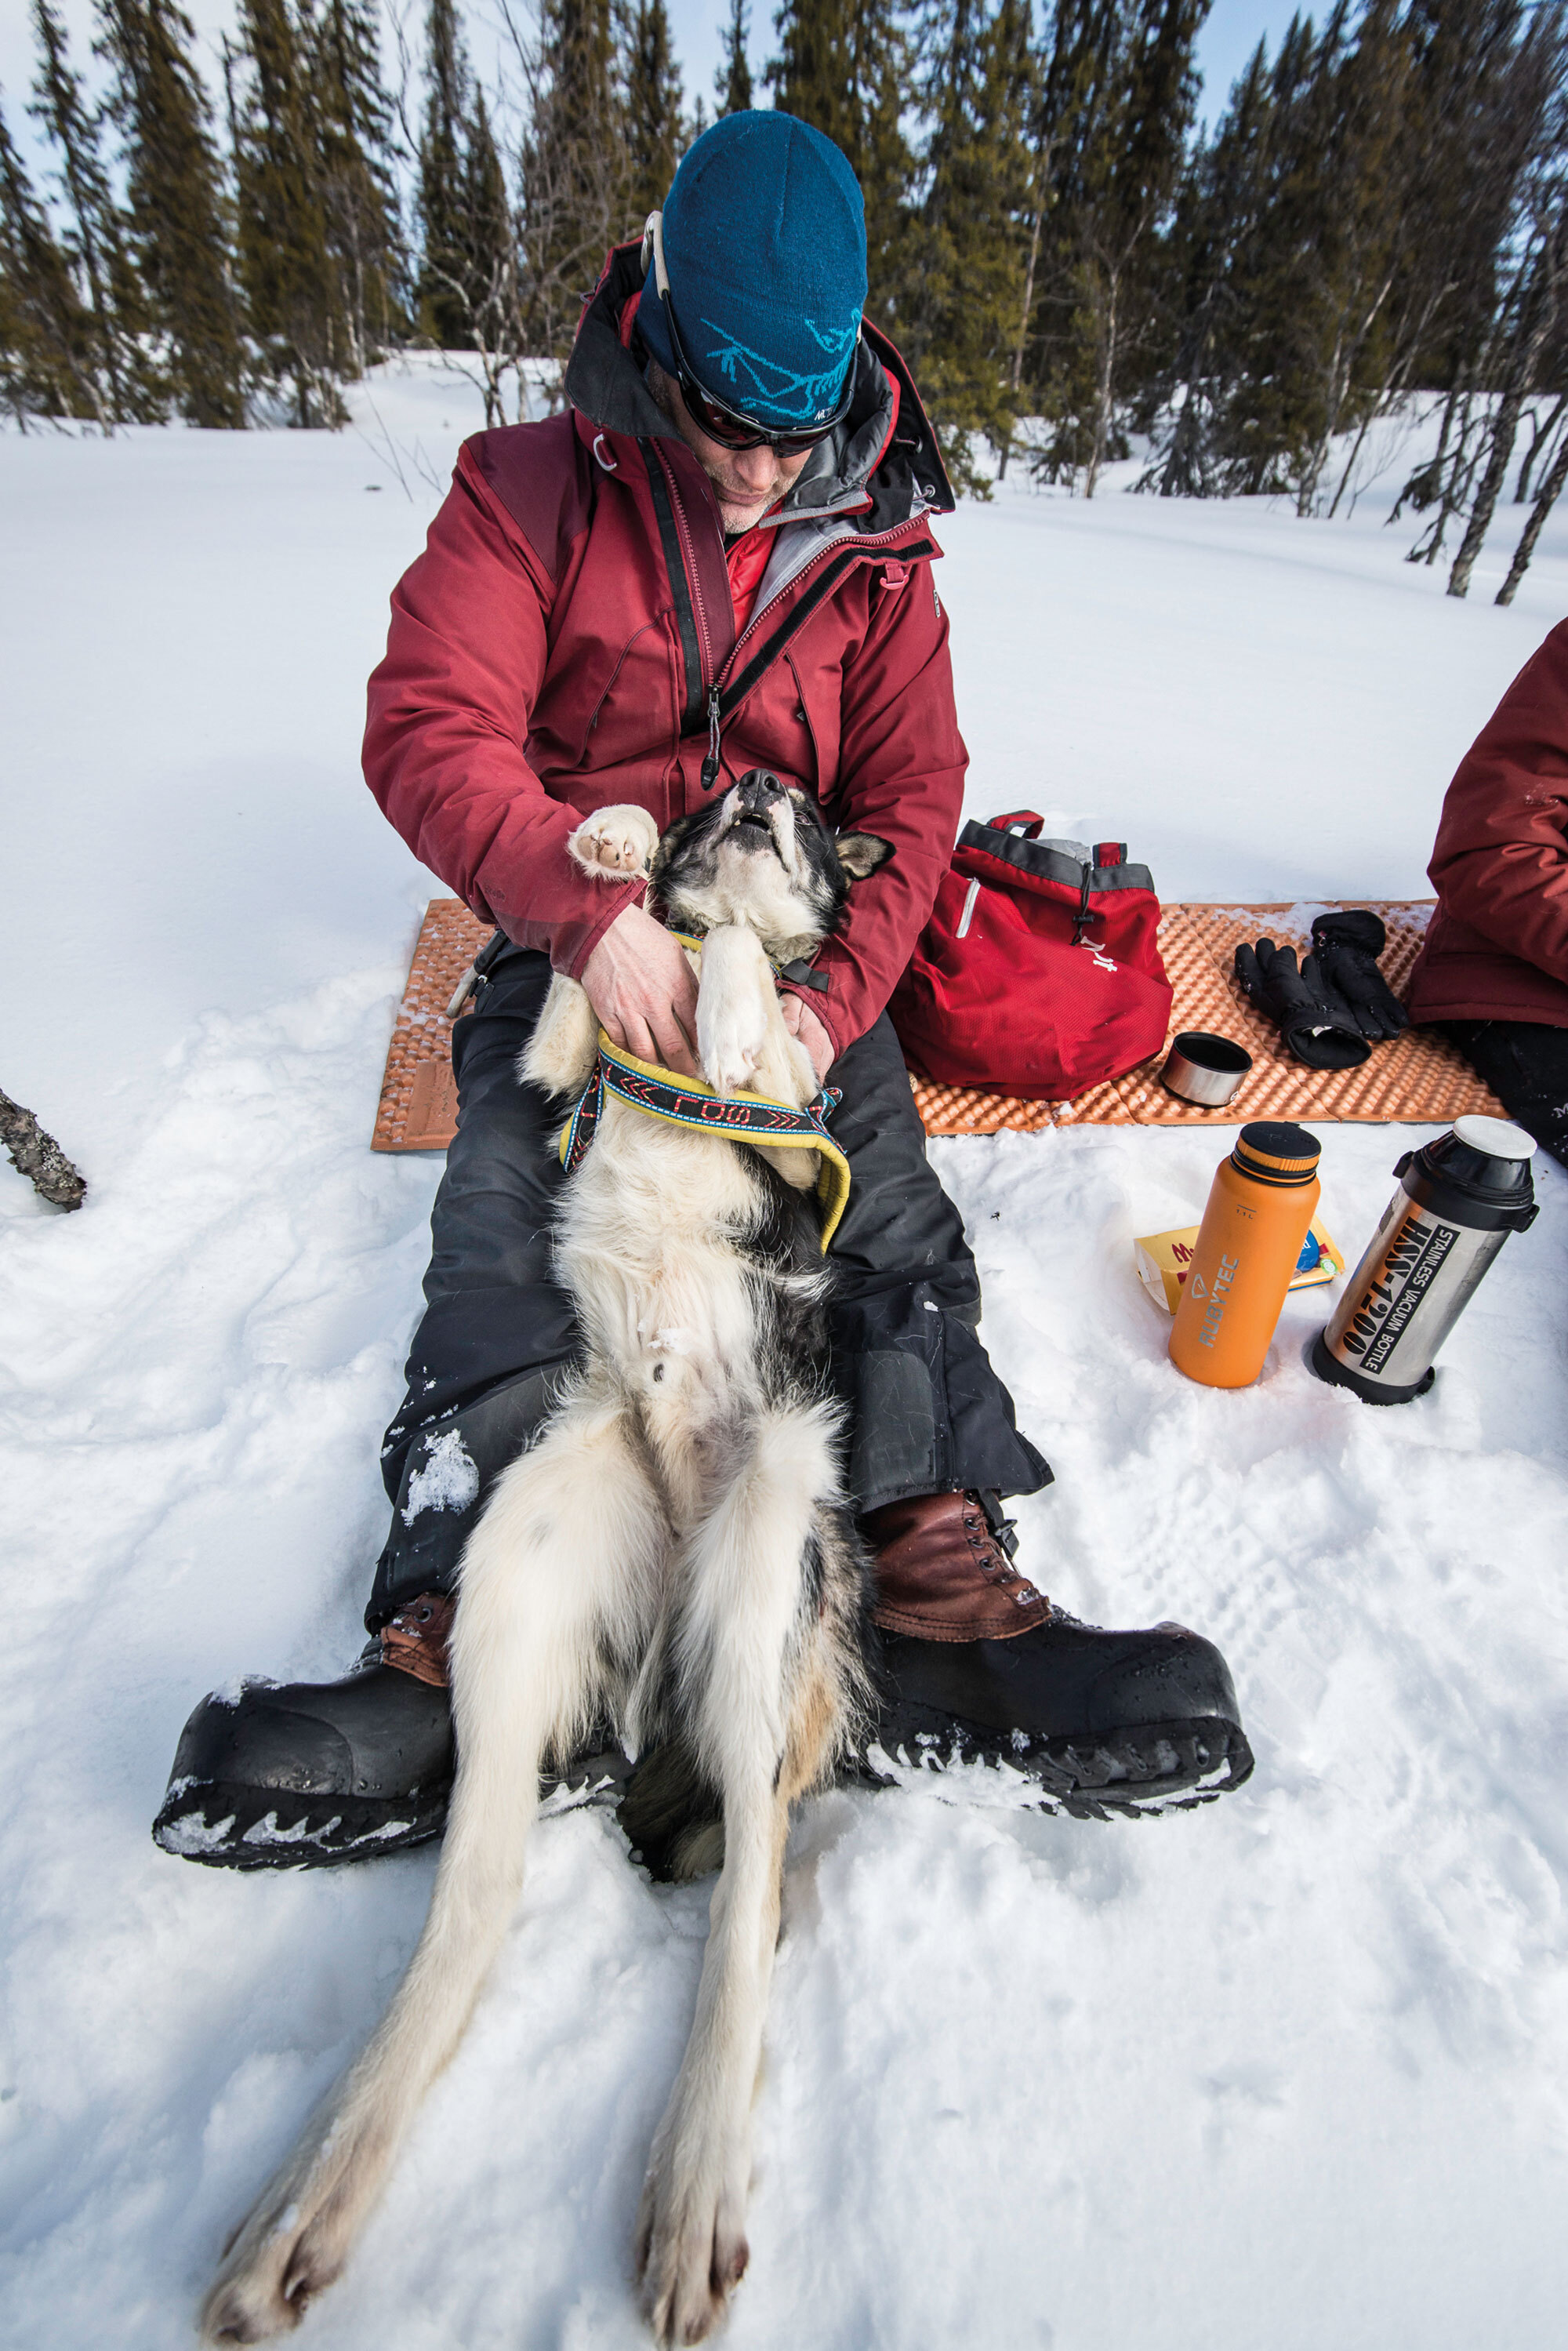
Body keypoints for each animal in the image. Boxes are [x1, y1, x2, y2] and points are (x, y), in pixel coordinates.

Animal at [199, 776, 893, 2351]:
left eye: (802, 808)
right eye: (733, 789)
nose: (753, 785)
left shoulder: (792, 1119)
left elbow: (756, 995)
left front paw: (729, 996)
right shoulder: (560, 1056)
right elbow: (598, 968)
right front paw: (615, 850)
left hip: (763, 1571)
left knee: (749, 1897)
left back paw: (691, 2188)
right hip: (525, 1548)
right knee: (478, 1891)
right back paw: (310, 2201)